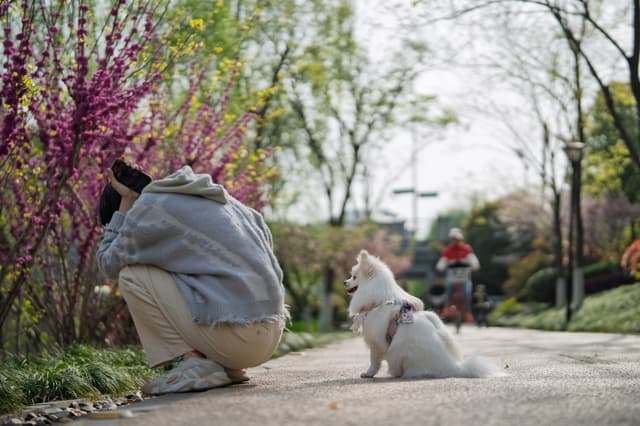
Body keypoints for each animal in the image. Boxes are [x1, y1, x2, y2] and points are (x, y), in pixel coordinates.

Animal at [344, 250, 500, 380]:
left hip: (400, 349)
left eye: (354, 277)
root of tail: (453, 368)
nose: (344, 282)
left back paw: (398, 373)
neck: (380, 301)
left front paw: (368, 373)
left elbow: (374, 361)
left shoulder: (377, 342)